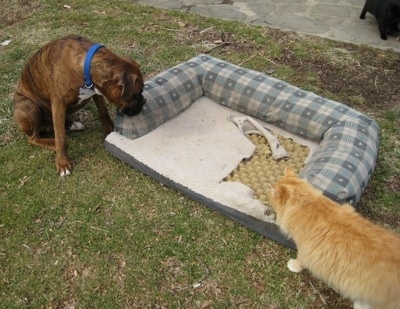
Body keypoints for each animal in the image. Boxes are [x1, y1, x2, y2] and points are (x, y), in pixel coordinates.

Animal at [13, 34, 146, 176]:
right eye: (138, 92)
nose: (144, 101)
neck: (84, 66)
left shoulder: (97, 92)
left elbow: (103, 113)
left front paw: (110, 130)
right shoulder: (58, 104)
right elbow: (61, 138)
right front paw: (63, 163)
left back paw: (72, 124)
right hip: (29, 107)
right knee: (34, 138)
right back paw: (53, 142)